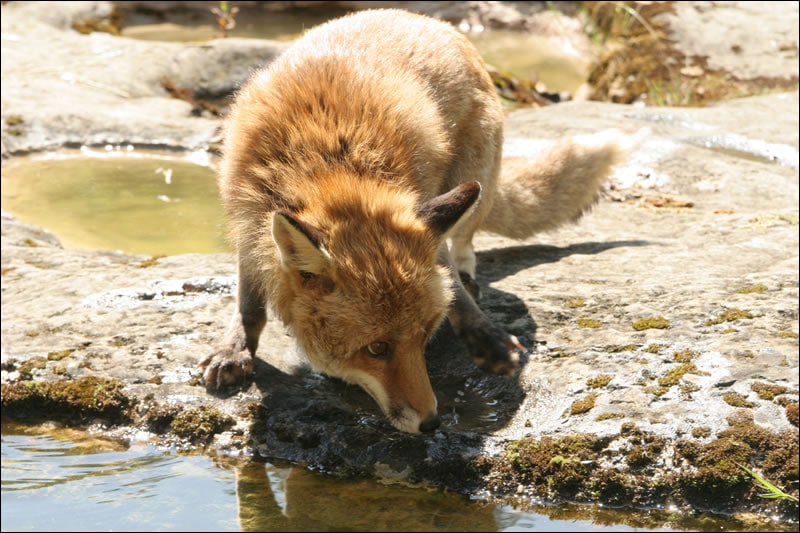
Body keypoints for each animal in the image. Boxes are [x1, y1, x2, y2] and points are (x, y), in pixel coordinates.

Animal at [198, 7, 632, 432]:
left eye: (424, 336)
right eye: (376, 348)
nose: (431, 423)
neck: (326, 162)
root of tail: (423, 19)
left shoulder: (418, 203)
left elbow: (451, 283)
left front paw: (483, 333)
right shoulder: (245, 220)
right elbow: (249, 304)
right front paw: (234, 349)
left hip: (472, 178)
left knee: (464, 245)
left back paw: (469, 278)